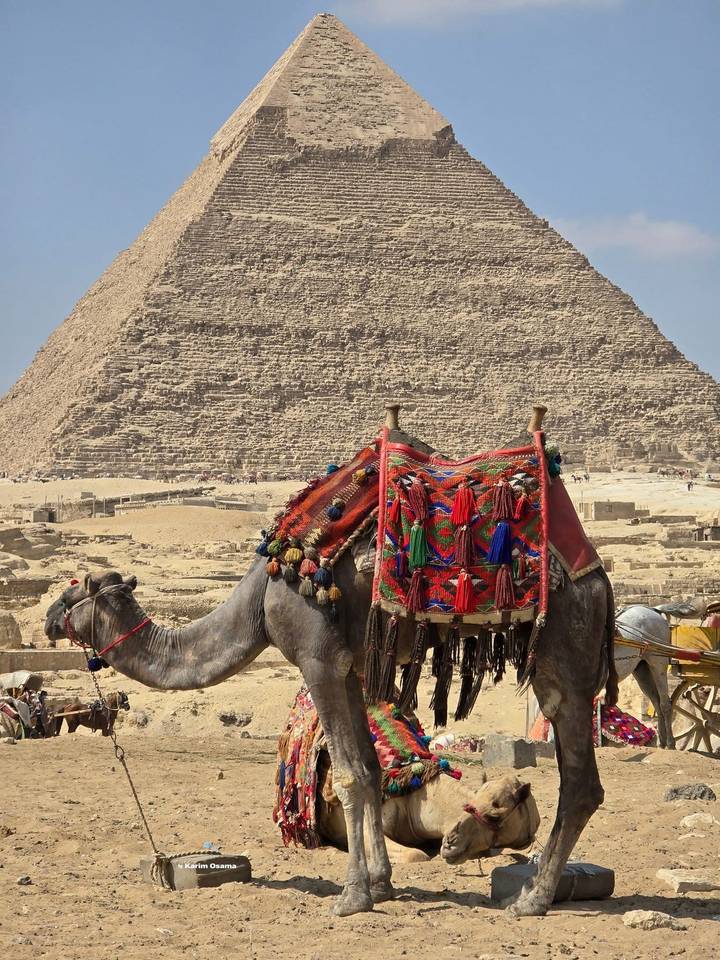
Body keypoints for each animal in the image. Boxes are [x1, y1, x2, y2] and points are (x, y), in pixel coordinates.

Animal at [44, 408, 617, 917]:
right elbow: (367, 767)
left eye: (74, 590)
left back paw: (533, 899)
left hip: (563, 656)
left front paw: (352, 896)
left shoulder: (316, 658)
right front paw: (381, 884)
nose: (49, 618)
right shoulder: (352, 667)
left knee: (579, 781)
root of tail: (598, 577)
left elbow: (347, 776)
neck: (262, 597)